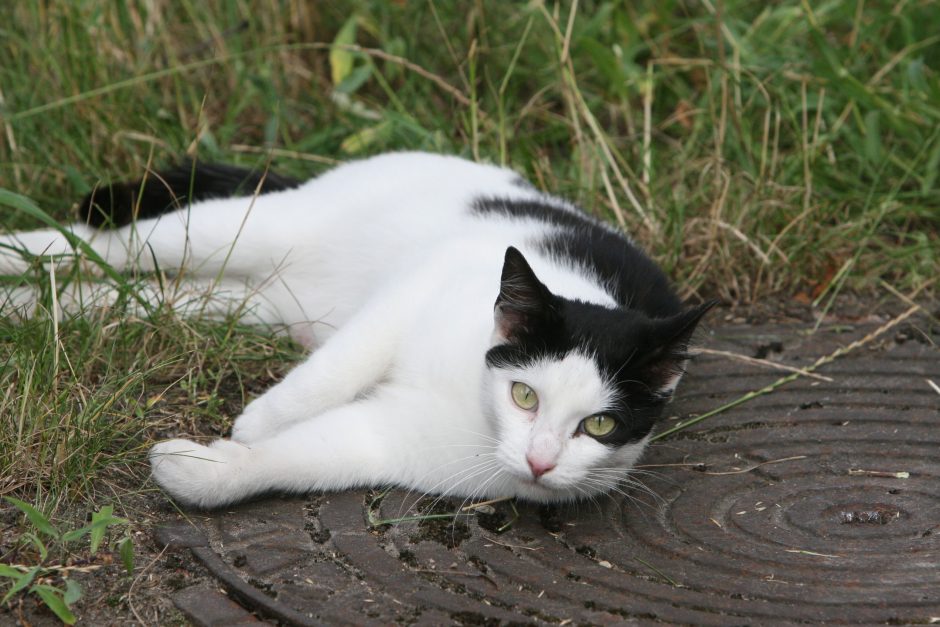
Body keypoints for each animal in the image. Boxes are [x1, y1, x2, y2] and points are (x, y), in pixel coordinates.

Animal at [0, 153, 712, 510]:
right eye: (525, 394)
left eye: (600, 425)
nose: (540, 461)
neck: (473, 401)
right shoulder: (411, 291)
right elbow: (334, 371)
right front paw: (255, 423)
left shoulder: (386, 439)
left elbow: (296, 459)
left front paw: (205, 469)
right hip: (246, 231)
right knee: (100, 243)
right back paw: (17, 255)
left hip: (242, 300)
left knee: (130, 293)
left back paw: (29, 308)